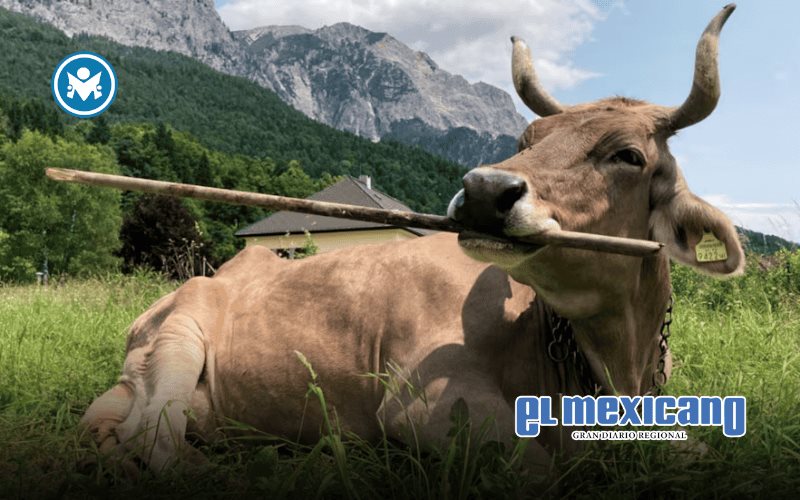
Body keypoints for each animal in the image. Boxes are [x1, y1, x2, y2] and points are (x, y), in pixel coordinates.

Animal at [80, 5, 742, 475]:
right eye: (526, 139)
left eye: (628, 155)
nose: (483, 189)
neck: (614, 369)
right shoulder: (424, 405)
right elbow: (540, 470)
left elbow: (705, 450)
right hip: (180, 336)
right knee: (154, 443)